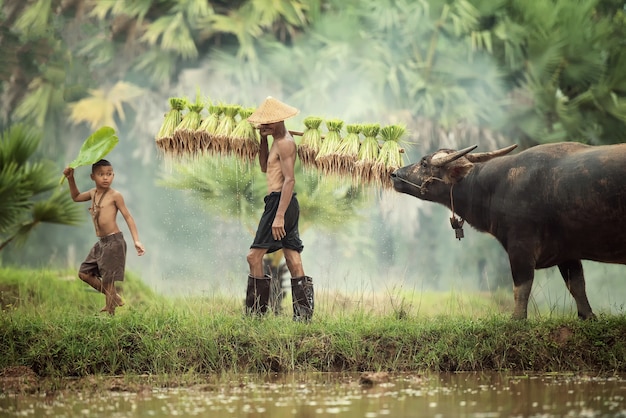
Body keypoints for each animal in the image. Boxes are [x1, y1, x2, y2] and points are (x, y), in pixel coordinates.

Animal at [390, 142, 624, 318]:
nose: (394, 174)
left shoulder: (520, 247)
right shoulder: (567, 253)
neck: (494, 187)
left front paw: (516, 318)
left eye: (424, 162)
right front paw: (588, 316)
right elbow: (577, 286)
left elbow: (521, 288)